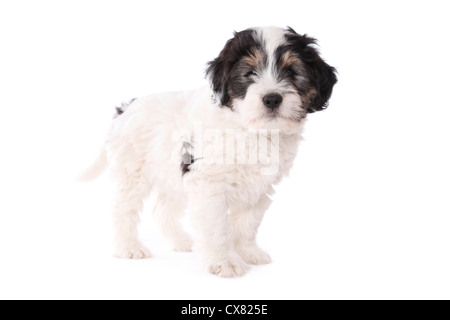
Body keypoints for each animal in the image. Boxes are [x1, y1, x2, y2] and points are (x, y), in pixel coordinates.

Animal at [79, 26, 336, 276]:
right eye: (250, 73)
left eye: (292, 72)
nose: (272, 99)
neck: (251, 130)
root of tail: (125, 109)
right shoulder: (208, 183)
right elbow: (217, 225)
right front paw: (224, 262)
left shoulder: (259, 188)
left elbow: (248, 222)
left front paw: (247, 252)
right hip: (132, 172)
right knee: (123, 209)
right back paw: (129, 247)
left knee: (162, 209)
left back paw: (182, 242)